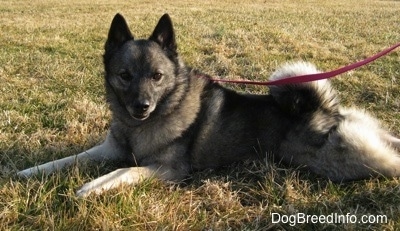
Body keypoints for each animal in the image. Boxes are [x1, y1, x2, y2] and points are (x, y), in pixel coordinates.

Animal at [17, 13, 400, 197]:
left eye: (157, 76)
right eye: (125, 75)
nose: (141, 106)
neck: (143, 125)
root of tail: (320, 111)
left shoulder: (169, 170)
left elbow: (124, 171)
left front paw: (92, 186)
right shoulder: (108, 149)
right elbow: (68, 159)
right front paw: (28, 173)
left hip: (351, 159)